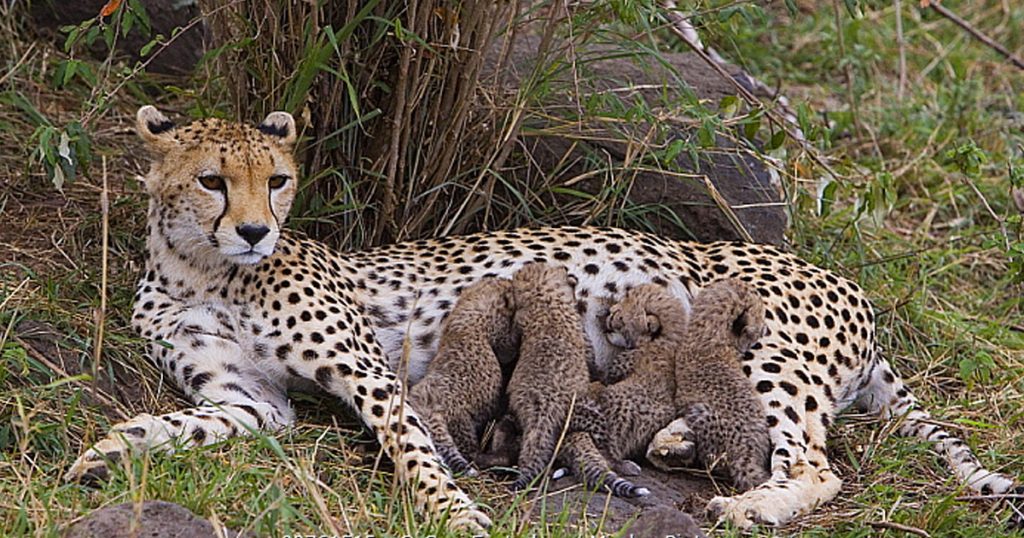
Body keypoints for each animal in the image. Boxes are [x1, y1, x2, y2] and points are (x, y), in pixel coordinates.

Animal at [68, 108, 1019, 528]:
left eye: (278, 181)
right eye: (211, 181)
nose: (257, 230)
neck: (200, 269)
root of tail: (853, 290)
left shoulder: (373, 377)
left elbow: (415, 452)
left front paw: (453, 515)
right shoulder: (249, 403)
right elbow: (177, 425)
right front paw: (107, 452)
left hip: (771, 351)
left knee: (820, 467)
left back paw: (752, 506)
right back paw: (679, 440)